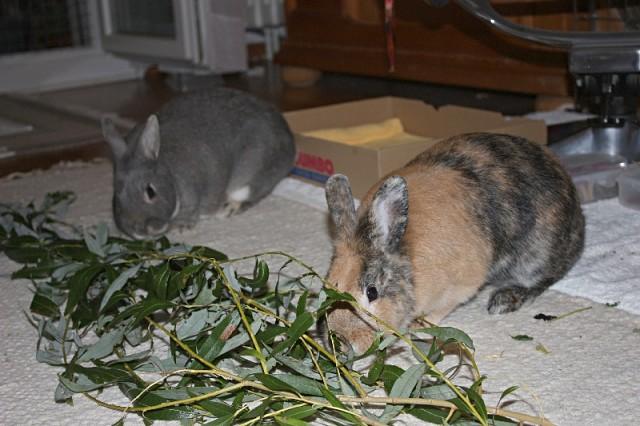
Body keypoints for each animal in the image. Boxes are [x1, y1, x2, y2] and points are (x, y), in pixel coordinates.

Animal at [102, 88, 296, 238]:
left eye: (150, 191)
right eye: (116, 194)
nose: (138, 230)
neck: (170, 175)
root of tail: (289, 142)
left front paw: (180, 228)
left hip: (251, 175)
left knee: (249, 195)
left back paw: (226, 210)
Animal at [324, 133, 584, 352]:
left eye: (372, 292)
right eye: (328, 285)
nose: (344, 342)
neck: (409, 258)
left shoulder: (460, 286)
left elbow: (441, 310)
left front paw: (419, 327)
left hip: (536, 257)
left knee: (542, 280)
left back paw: (504, 300)